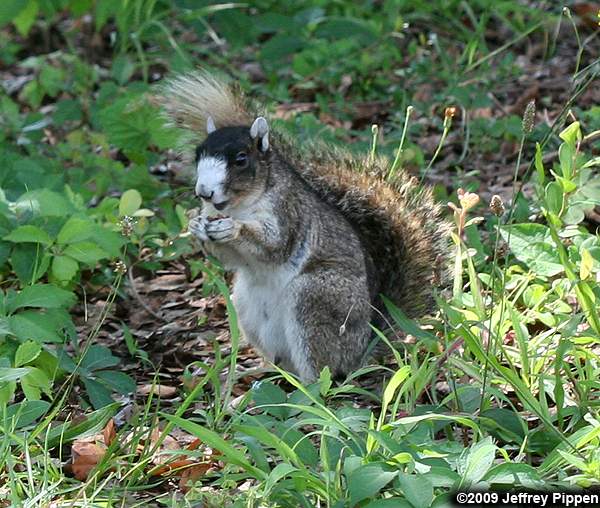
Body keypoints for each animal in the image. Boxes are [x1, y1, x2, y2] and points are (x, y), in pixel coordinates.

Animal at [159, 71, 450, 380]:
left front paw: (234, 230)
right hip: (247, 307)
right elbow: (227, 258)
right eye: (197, 155)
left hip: (315, 297)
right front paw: (195, 225)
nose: (204, 192)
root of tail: (361, 352)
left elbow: (274, 246)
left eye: (240, 159)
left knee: (322, 372)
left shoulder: (289, 213)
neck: (239, 206)